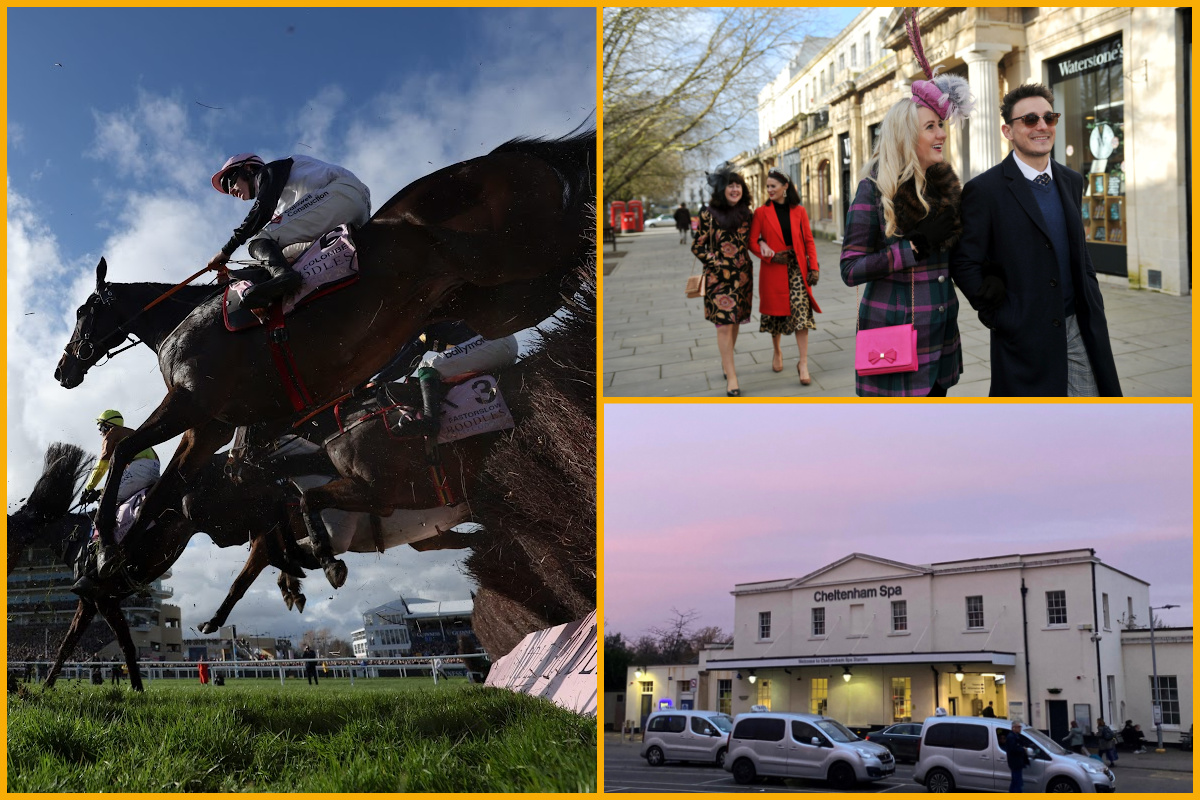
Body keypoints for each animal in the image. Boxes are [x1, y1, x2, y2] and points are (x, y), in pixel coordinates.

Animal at [57, 134, 595, 578]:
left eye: (83, 311)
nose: (64, 369)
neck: (184, 321)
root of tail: (497, 159)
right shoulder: (208, 428)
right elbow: (165, 493)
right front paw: (119, 555)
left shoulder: (191, 403)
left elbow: (126, 449)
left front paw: (106, 542)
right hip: (499, 298)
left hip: (517, 255)